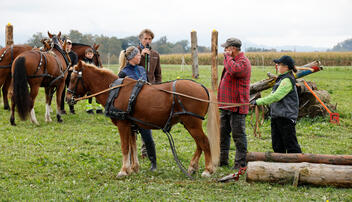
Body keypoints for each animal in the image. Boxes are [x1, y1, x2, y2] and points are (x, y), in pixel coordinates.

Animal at [65, 61, 219, 177]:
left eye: (73, 79)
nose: (67, 98)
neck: (115, 91)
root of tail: (202, 87)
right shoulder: (131, 125)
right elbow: (132, 146)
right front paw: (133, 168)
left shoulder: (122, 124)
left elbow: (125, 147)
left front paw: (123, 170)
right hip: (189, 123)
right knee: (199, 144)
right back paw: (192, 167)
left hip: (192, 123)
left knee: (204, 142)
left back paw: (208, 170)